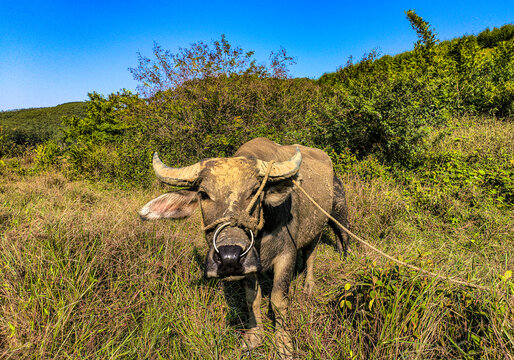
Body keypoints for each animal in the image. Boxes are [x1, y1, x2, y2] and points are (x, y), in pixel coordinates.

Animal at [139, 137, 348, 354]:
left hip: (318, 228)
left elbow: (278, 300)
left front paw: (283, 343)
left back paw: (309, 285)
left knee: (311, 256)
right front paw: (254, 336)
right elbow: (251, 298)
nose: (229, 258)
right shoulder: (249, 266)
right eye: (203, 194)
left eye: (255, 191)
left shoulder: (286, 255)